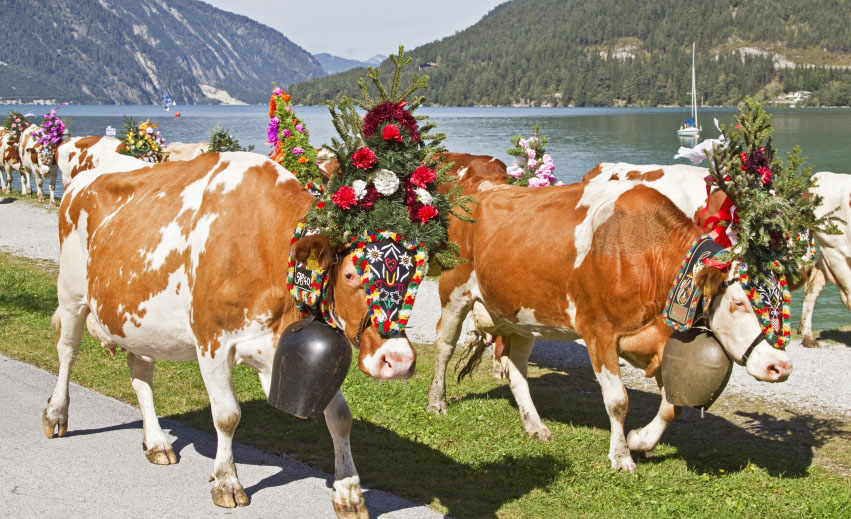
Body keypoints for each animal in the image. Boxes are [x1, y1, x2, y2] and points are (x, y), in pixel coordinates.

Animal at [47, 151, 420, 516]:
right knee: (67, 351)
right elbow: (227, 415)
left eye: (415, 276)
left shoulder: (277, 349)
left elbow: (340, 416)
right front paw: (227, 482)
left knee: (140, 374)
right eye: (350, 275)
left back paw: (156, 442)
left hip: (137, 320)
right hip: (71, 294)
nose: (398, 360)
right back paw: (56, 414)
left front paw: (349, 492)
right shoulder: (212, 342)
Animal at [430, 181, 796, 474]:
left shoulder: (658, 341)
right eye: (739, 302)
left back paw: (535, 426)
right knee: (444, 346)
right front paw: (621, 457)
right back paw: (437, 403)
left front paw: (639, 440)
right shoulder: (599, 331)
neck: (647, 256)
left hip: (521, 315)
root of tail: (481, 191)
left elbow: (672, 406)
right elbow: (618, 400)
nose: (781, 366)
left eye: (780, 304)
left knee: (516, 368)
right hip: (453, 289)